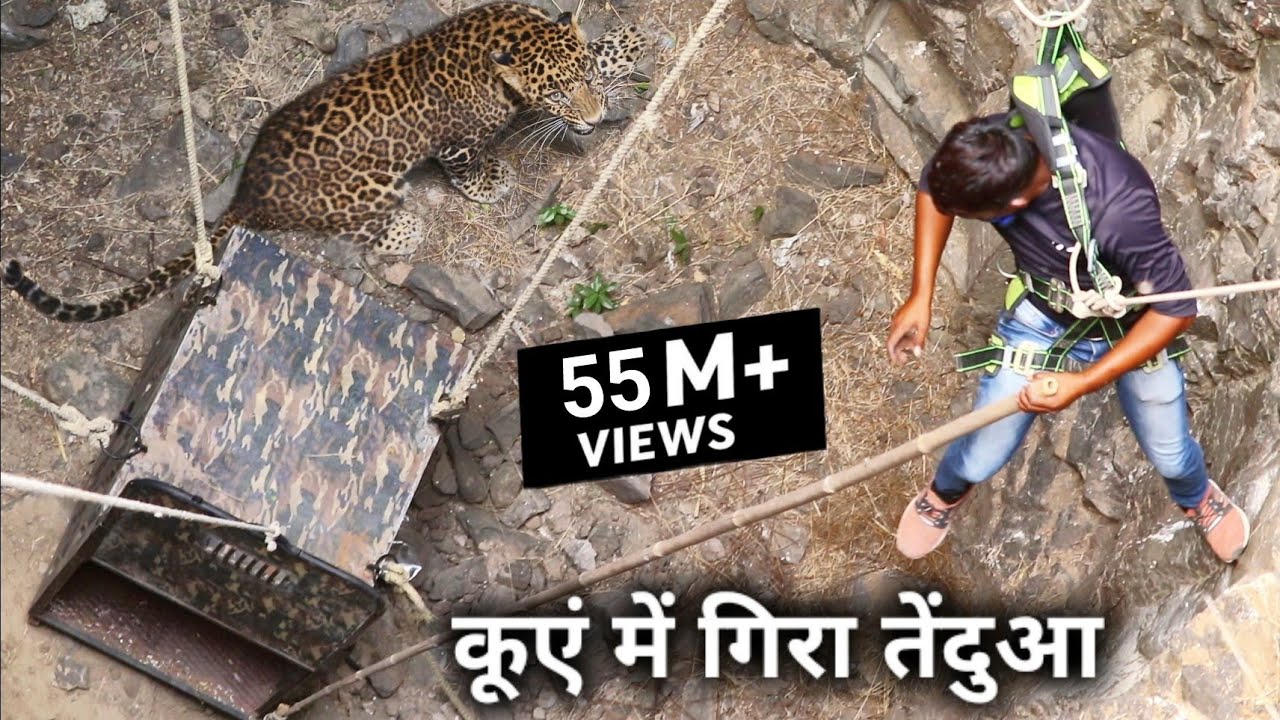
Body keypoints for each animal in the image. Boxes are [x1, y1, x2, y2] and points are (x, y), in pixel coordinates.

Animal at [3, 1, 647, 323]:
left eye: (583, 80)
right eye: (556, 94)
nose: (593, 119)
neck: (506, 34)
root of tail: (249, 192)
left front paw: (626, 45)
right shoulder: (455, 141)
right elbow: (467, 169)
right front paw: (492, 181)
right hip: (369, 189)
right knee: (360, 229)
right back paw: (406, 227)